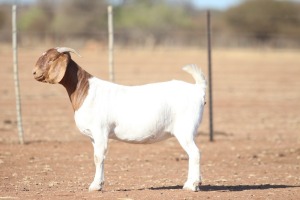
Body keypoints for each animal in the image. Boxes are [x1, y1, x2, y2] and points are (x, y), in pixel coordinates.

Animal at [32, 47, 206, 192]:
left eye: (51, 59)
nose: (34, 72)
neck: (85, 91)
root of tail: (198, 89)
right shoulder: (93, 136)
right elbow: (96, 156)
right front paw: (99, 184)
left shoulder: (100, 130)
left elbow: (99, 157)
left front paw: (95, 186)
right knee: (193, 154)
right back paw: (193, 184)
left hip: (185, 130)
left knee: (195, 153)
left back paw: (191, 186)